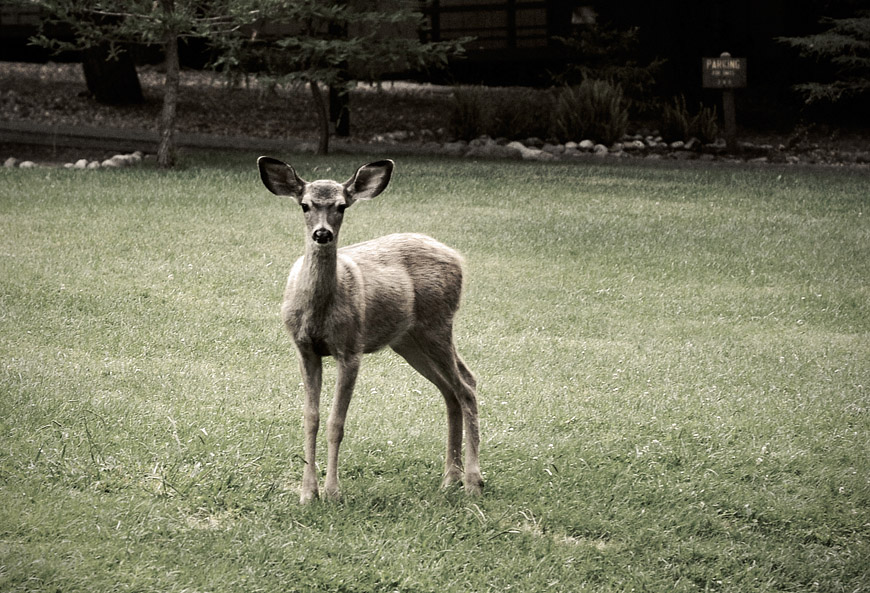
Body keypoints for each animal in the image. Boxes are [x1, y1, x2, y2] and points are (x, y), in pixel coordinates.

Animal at [257, 156, 483, 503]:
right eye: (305, 205)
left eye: (341, 206)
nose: (322, 234)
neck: (319, 311)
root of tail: (457, 257)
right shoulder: (304, 349)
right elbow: (311, 418)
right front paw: (308, 493)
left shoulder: (351, 349)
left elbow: (336, 422)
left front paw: (333, 491)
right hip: (409, 341)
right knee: (451, 390)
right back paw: (450, 479)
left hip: (438, 323)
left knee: (467, 387)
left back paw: (472, 481)